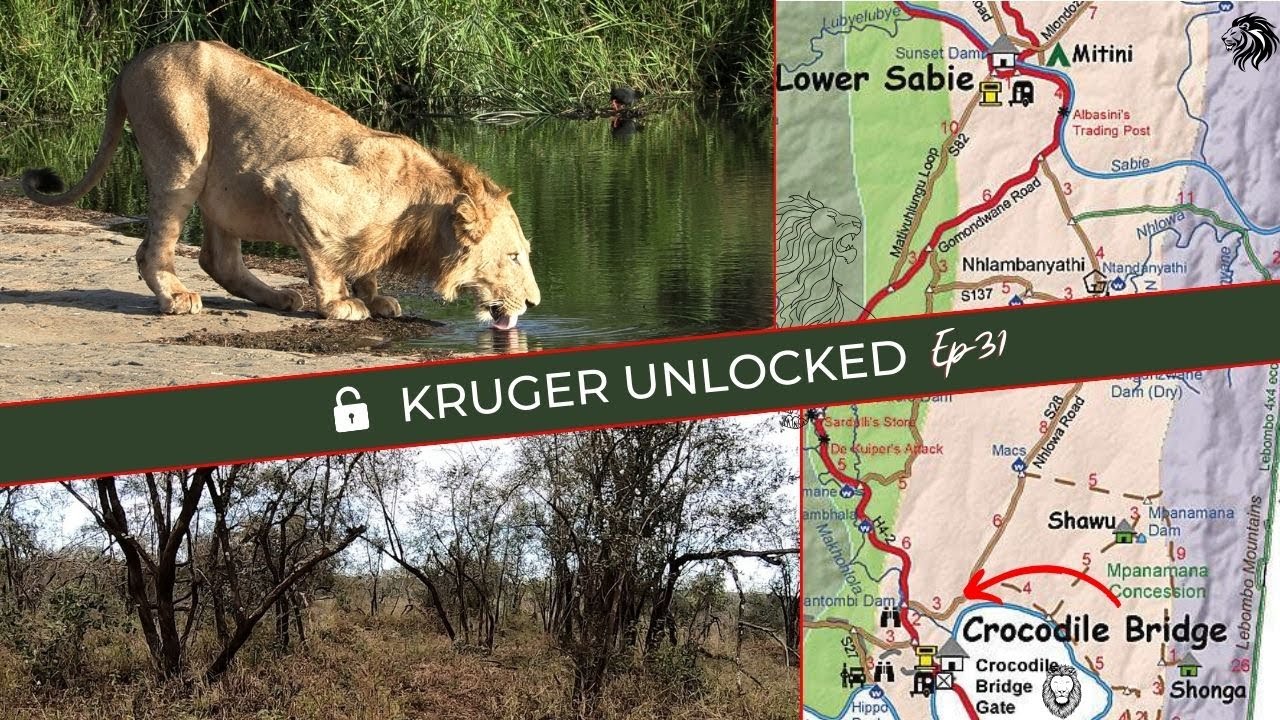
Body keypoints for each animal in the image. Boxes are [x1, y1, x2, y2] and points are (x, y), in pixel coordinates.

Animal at [21, 41, 540, 327]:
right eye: (513, 256)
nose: (535, 302)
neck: (424, 209)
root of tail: (132, 63)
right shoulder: (296, 186)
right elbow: (327, 259)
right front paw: (341, 305)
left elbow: (364, 260)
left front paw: (375, 297)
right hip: (182, 157)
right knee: (154, 247)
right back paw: (175, 296)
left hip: (221, 187)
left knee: (219, 259)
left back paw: (278, 297)